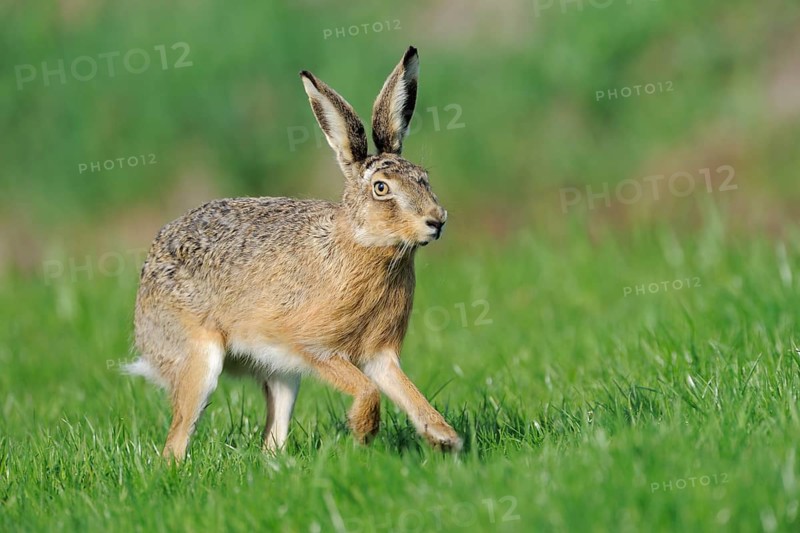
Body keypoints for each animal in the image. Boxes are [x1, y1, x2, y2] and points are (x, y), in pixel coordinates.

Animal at [126, 46, 462, 461]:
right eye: (381, 188)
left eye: (423, 177)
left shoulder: (379, 355)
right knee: (175, 443)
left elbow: (403, 388)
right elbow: (367, 388)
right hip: (198, 360)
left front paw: (443, 436)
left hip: (282, 375)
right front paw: (363, 430)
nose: (436, 220)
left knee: (272, 436)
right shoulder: (312, 346)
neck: (365, 245)